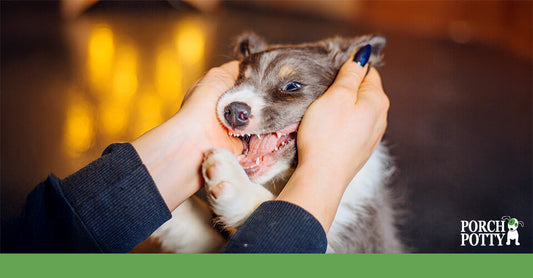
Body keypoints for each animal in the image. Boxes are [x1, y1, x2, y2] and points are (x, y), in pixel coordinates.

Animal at [150, 33, 404, 254]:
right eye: (241, 78)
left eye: (292, 86)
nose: (233, 112)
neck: (283, 181)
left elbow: (265, 205)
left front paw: (234, 183)